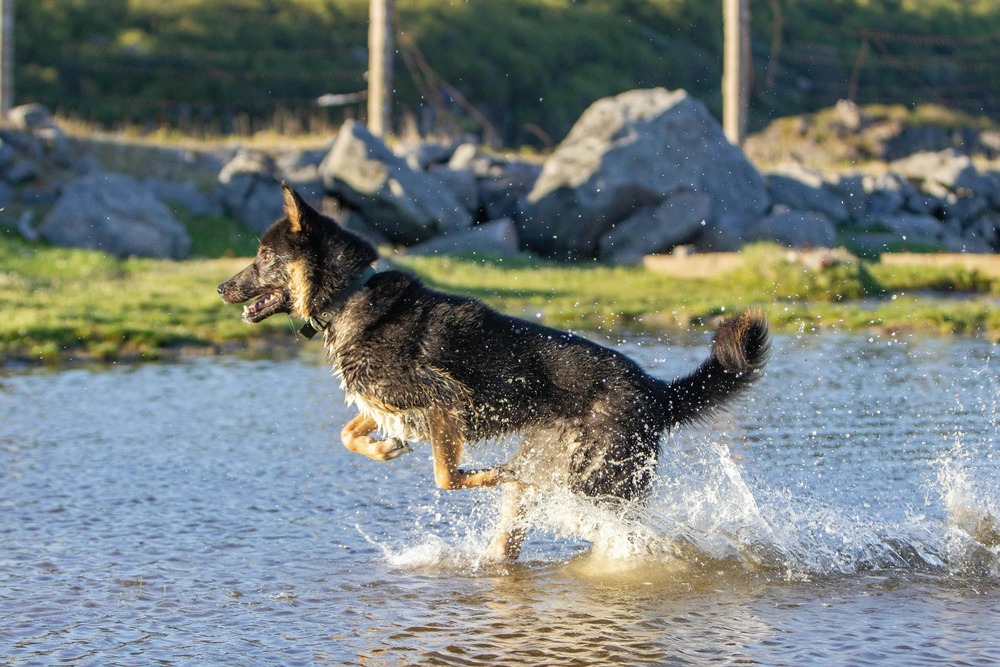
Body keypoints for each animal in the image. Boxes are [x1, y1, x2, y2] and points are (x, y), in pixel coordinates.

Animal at [218, 185, 770, 561]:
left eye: (263, 256)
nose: (222, 287)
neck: (348, 296)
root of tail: (657, 392)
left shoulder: (443, 400)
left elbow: (445, 476)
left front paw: (475, 473)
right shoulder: (392, 406)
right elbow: (350, 432)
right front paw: (382, 449)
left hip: (592, 486)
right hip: (552, 479)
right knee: (516, 531)